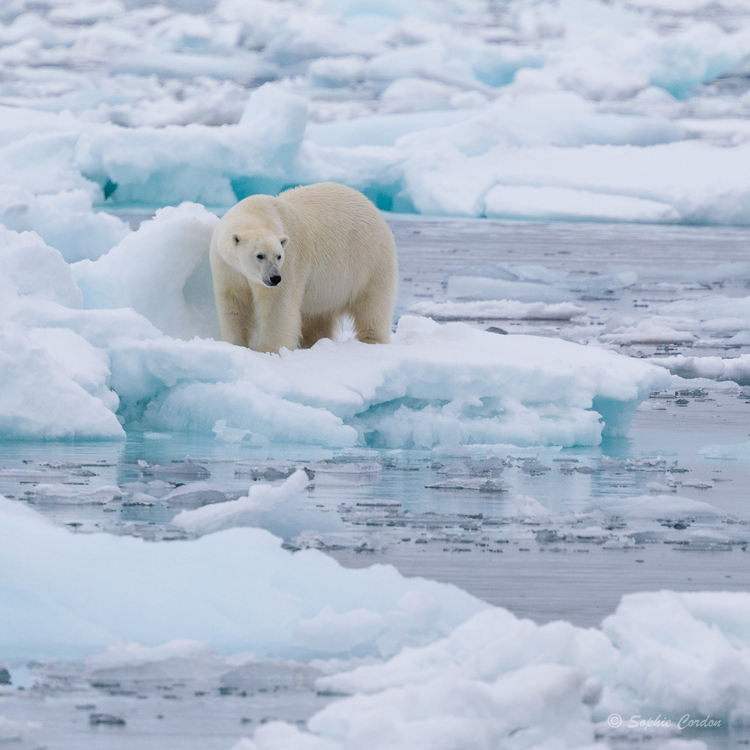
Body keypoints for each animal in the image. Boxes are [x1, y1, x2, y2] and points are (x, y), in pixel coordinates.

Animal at [212, 184, 400, 356]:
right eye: (260, 255)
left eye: (279, 256)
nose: (275, 278)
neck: (256, 212)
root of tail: (371, 206)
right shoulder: (226, 267)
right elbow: (234, 304)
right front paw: (235, 345)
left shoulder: (291, 262)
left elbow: (276, 306)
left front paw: (269, 352)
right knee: (318, 314)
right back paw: (311, 343)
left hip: (370, 261)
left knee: (373, 304)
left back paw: (371, 340)